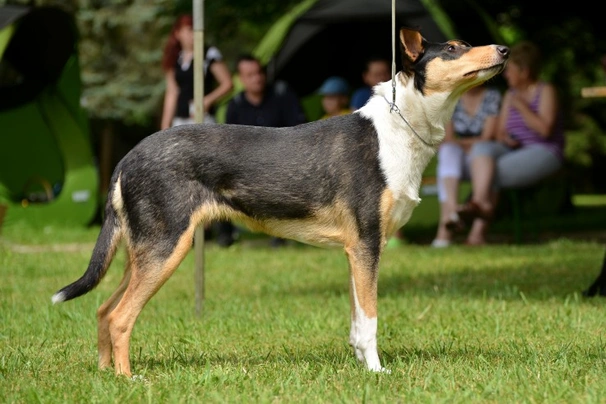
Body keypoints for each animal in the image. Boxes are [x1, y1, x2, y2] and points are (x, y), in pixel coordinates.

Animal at [52, 27, 510, 376]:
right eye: (453, 48)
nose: (505, 49)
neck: (399, 130)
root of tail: (128, 156)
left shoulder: (357, 250)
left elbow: (356, 321)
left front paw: (363, 369)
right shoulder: (367, 243)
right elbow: (371, 321)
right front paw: (379, 373)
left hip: (142, 252)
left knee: (102, 310)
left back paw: (105, 376)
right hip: (167, 248)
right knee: (119, 317)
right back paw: (129, 380)